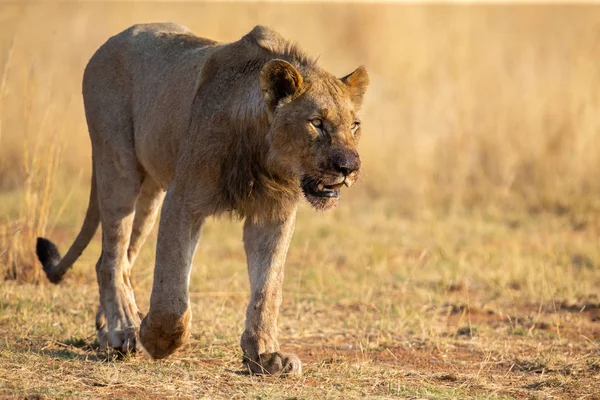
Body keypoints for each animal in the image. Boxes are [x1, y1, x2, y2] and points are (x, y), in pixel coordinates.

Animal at [36, 23, 370, 376]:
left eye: (354, 125)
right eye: (316, 123)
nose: (349, 167)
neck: (264, 156)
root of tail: (112, 40)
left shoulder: (272, 214)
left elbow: (268, 287)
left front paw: (265, 355)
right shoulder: (183, 200)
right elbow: (172, 290)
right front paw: (158, 339)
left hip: (150, 191)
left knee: (120, 259)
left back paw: (108, 326)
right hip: (118, 167)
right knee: (110, 259)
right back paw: (123, 329)